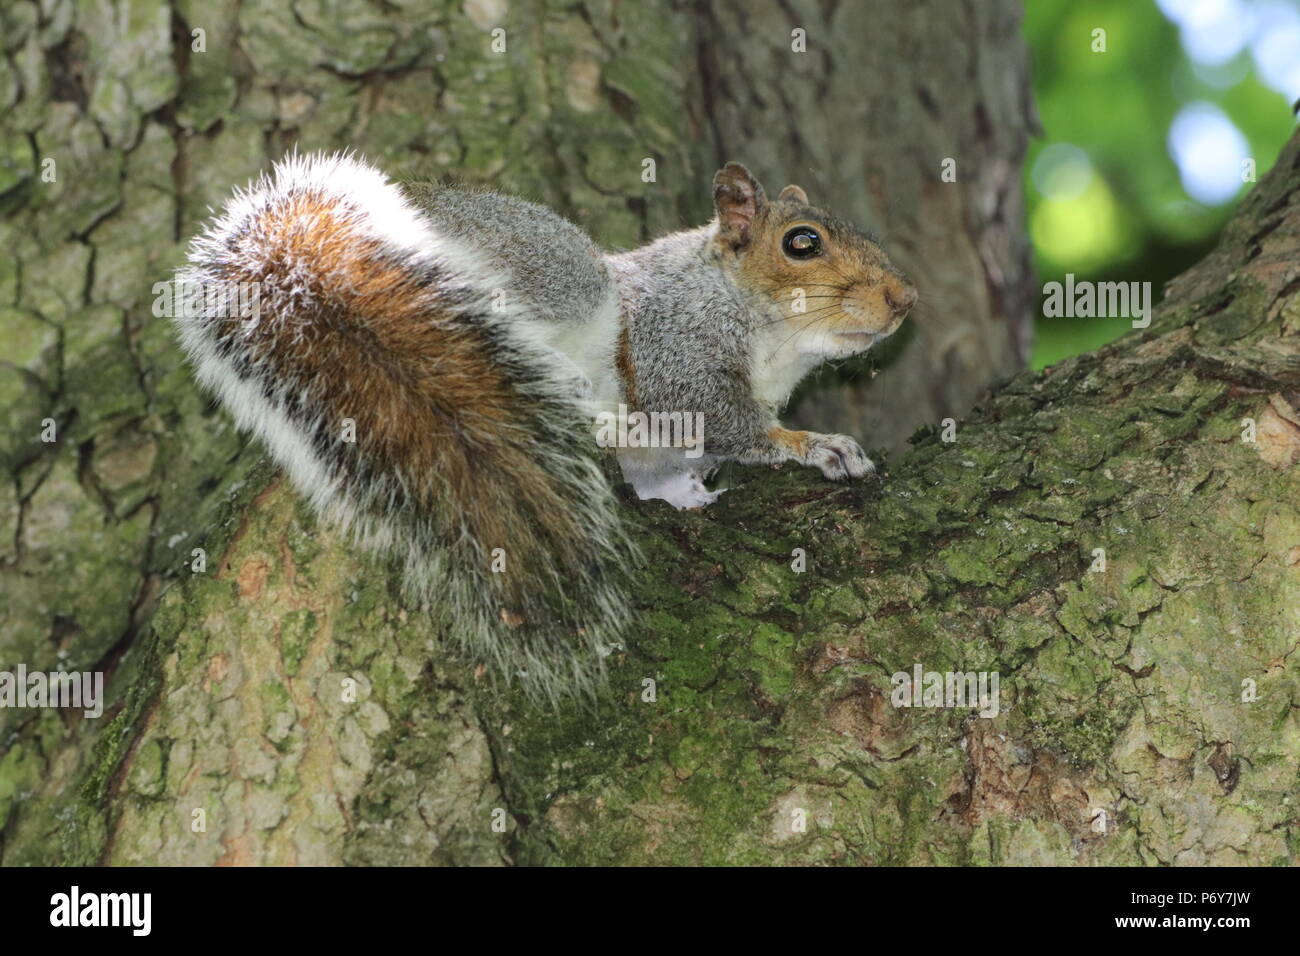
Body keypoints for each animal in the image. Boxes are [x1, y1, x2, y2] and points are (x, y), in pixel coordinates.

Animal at [174, 151, 916, 703]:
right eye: (802, 244)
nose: (905, 298)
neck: (770, 342)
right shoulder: (675, 352)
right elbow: (728, 423)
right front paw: (814, 446)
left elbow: (670, 474)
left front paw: (690, 497)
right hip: (557, 279)